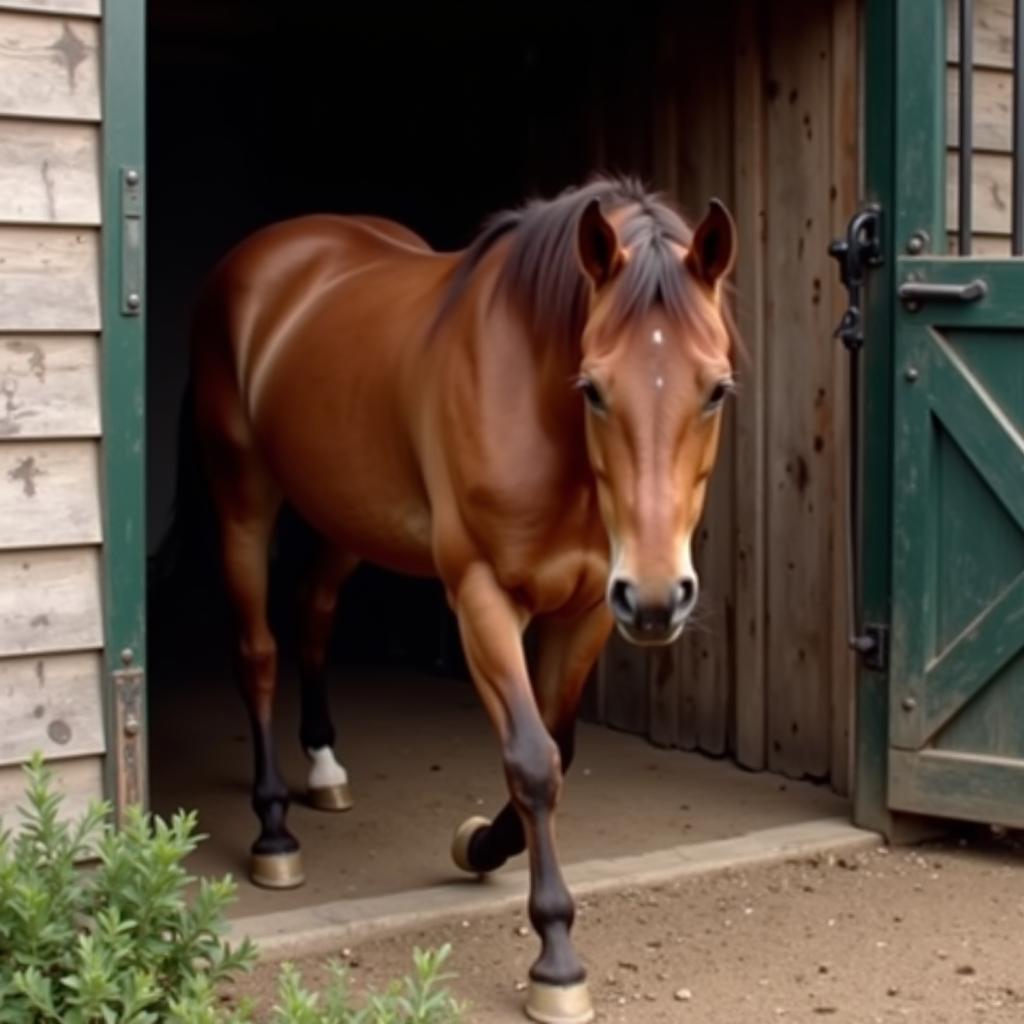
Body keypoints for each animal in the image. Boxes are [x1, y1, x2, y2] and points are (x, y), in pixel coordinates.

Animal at [190, 178, 737, 1024]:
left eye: (715, 388)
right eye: (593, 388)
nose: (656, 599)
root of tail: (273, 253)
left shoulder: (588, 608)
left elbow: (558, 747)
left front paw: (481, 843)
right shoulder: (483, 596)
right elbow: (533, 759)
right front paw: (556, 960)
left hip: (350, 516)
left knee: (314, 618)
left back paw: (325, 770)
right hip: (243, 500)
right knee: (259, 653)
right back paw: (274, 831)